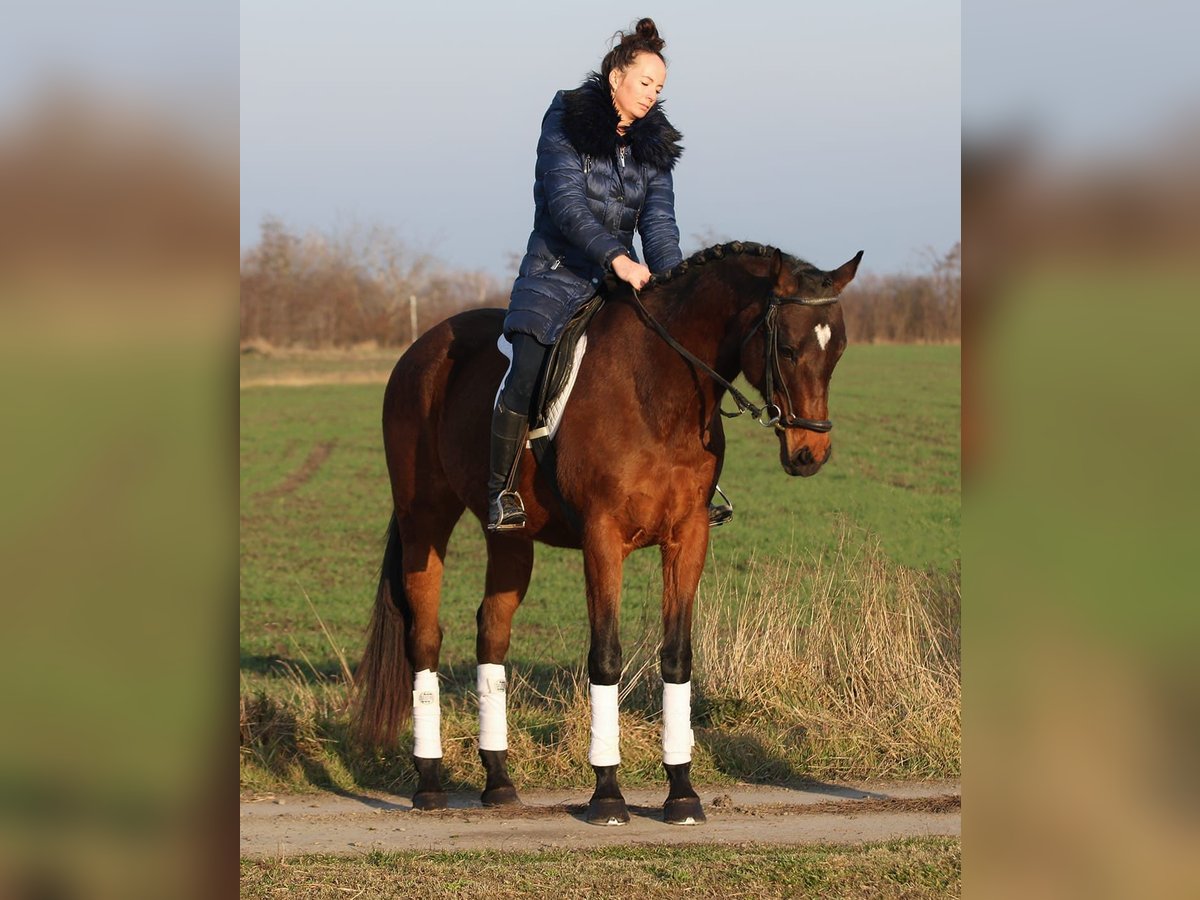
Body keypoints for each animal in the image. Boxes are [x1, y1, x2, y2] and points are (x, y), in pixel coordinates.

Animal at [355, 240, 864, 825]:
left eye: (838, 350)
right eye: (787, 348)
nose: (811, 453)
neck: (658, 389)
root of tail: (422, 347)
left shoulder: (688, 538)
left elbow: (677, 656)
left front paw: (681, 792)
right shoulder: (602, 539)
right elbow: (606, 656)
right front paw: (607, 794)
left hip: (508, 539)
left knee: (492, 633)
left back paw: (499, 781)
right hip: (425, 521)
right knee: (424, 636)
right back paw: (430, 782)